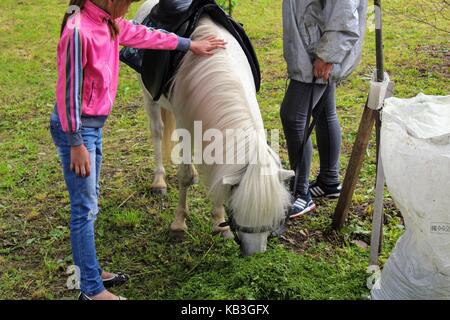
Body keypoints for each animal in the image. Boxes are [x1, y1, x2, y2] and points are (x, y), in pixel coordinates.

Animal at [135, 0, 294, 255]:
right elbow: (184, 176)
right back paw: (159, 181)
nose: (254, 253)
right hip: (150, 97)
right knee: (157, 132)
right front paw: (178, 225)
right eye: (239, 208)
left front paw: (220, 225)